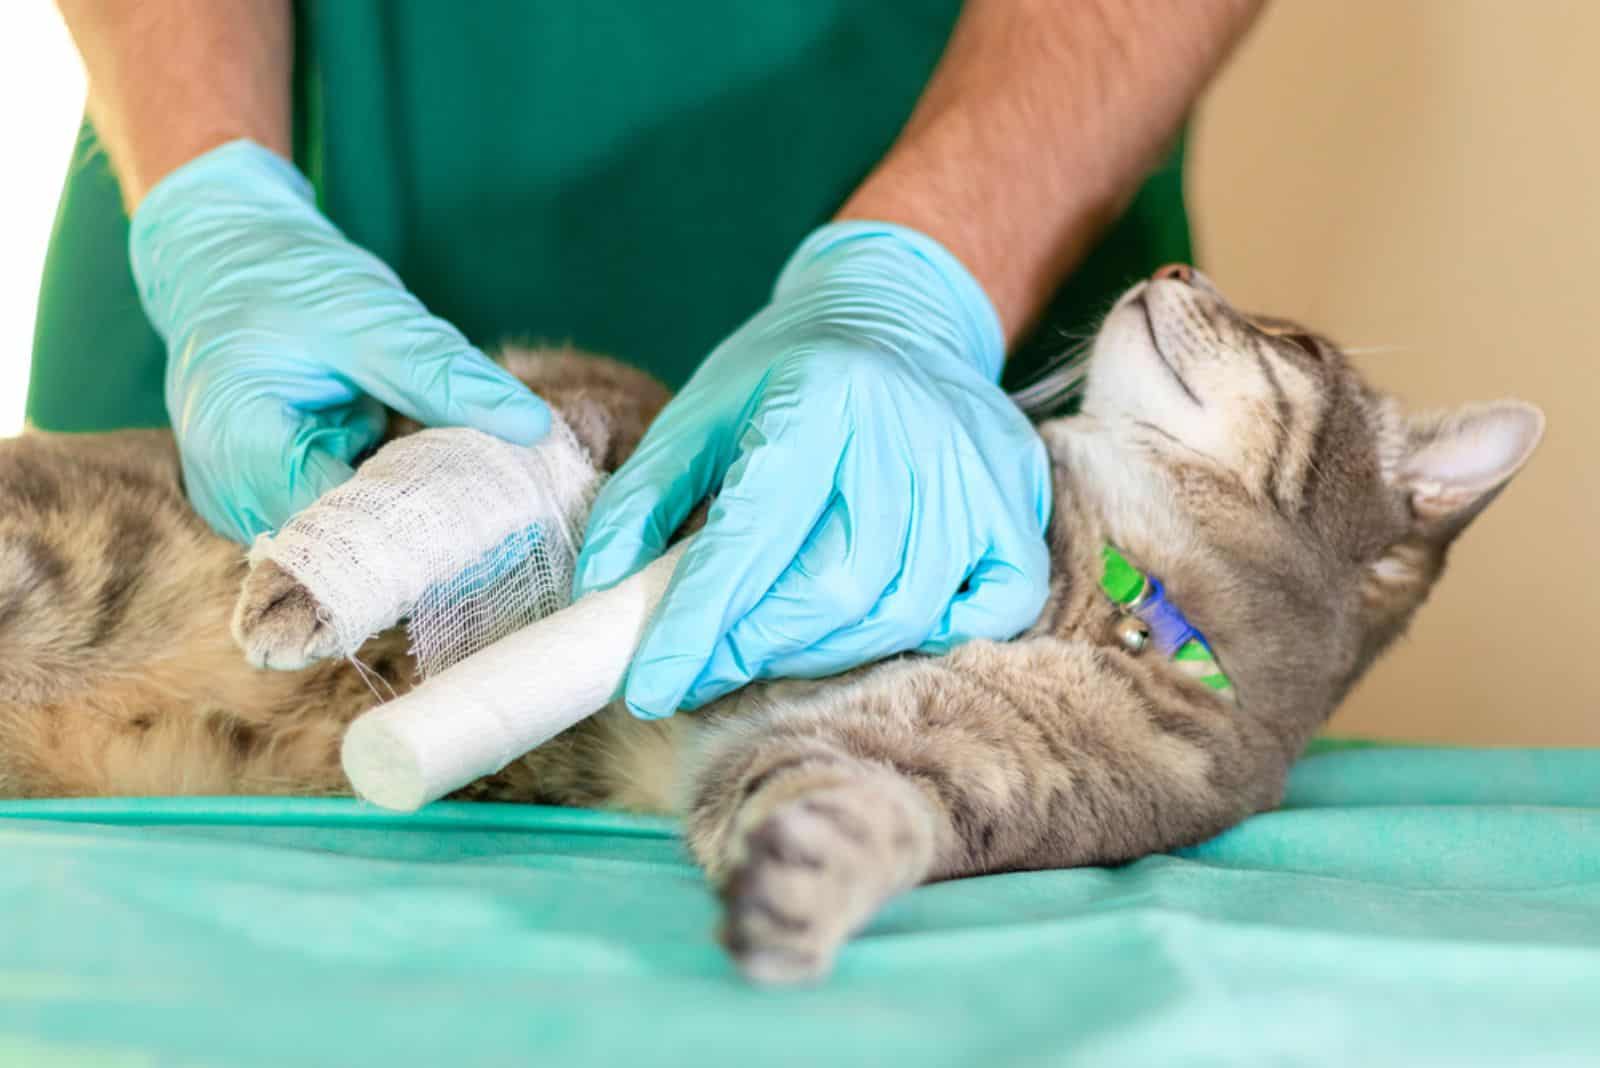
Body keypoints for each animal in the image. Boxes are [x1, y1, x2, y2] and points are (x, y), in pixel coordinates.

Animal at [3, 267, 1548, 984]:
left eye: (1290, 342)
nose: (1166, 271)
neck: (1099, 583)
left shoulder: (930, 761)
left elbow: (857, 807)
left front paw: (800, 896)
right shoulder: (645, 427)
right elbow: (547, 439)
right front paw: (312, 582)